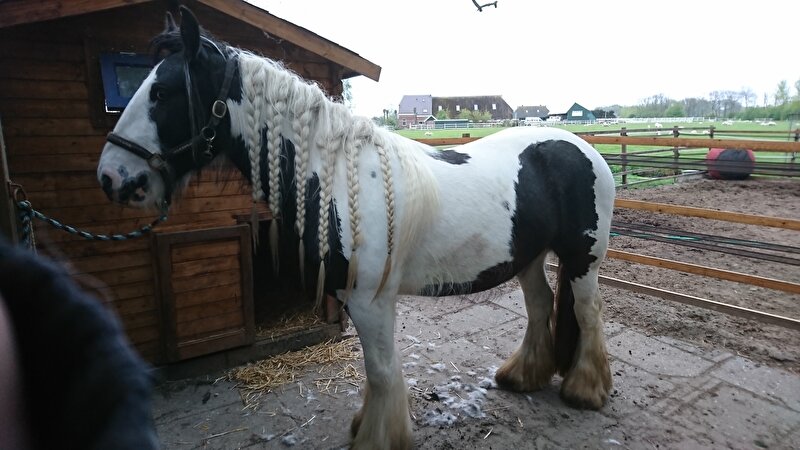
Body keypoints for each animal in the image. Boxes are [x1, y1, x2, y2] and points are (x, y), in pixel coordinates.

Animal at [97, 7, 614, 449]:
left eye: (161, 92)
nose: (111, 177)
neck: (338, 181)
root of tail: (583, 149)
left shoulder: (371, 302)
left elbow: (383, 372)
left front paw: (378, 438)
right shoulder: (354, 299)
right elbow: (373, 373)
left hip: (582, 259)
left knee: (586, 313)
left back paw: (585, 391)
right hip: (528, 256)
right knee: (541, 306)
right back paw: (522, 376)